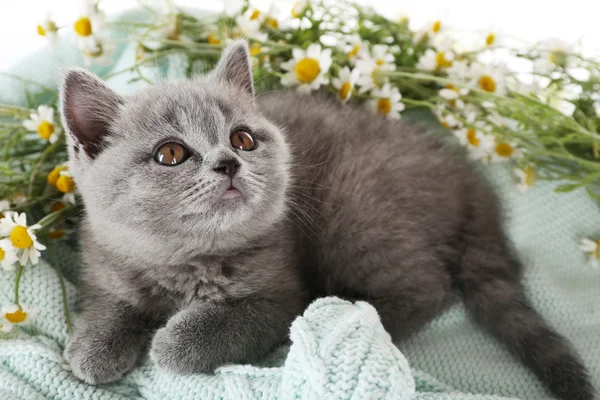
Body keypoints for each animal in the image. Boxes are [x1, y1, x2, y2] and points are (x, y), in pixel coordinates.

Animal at [61, 41, 596, 400]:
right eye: (170, 153)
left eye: (242, 140)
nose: (228, 163)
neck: (185, 260)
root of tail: (465, 175)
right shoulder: (103, 261)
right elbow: (110, 304)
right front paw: (93, 348)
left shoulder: (278, 294)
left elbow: (220, 327)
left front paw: (174, 341)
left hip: (354, 216)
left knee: (428, 287)